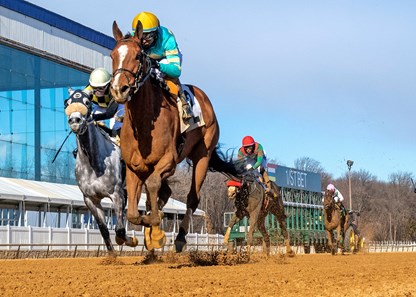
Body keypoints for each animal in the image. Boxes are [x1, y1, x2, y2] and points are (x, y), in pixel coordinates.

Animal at [64, 88, 137, 254]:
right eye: (67, 103)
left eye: (87, 103)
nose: (75, 120)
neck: (92, 163)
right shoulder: (91, 199)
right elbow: (104, 230)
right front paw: (112, 256)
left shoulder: (116, 194)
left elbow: (120, 230)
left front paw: (131, 240)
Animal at [109, 20, 240, 251]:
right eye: (112, 55)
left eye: (138, 56)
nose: (119, 89)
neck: (144, 123)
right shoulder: (134, 167)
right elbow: (134, 212)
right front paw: (144, 232)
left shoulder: (168, 161)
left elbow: (152, 187)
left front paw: (155, 224)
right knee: (165, 193)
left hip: (202, 155)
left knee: (192, 198)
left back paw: (179, 238)